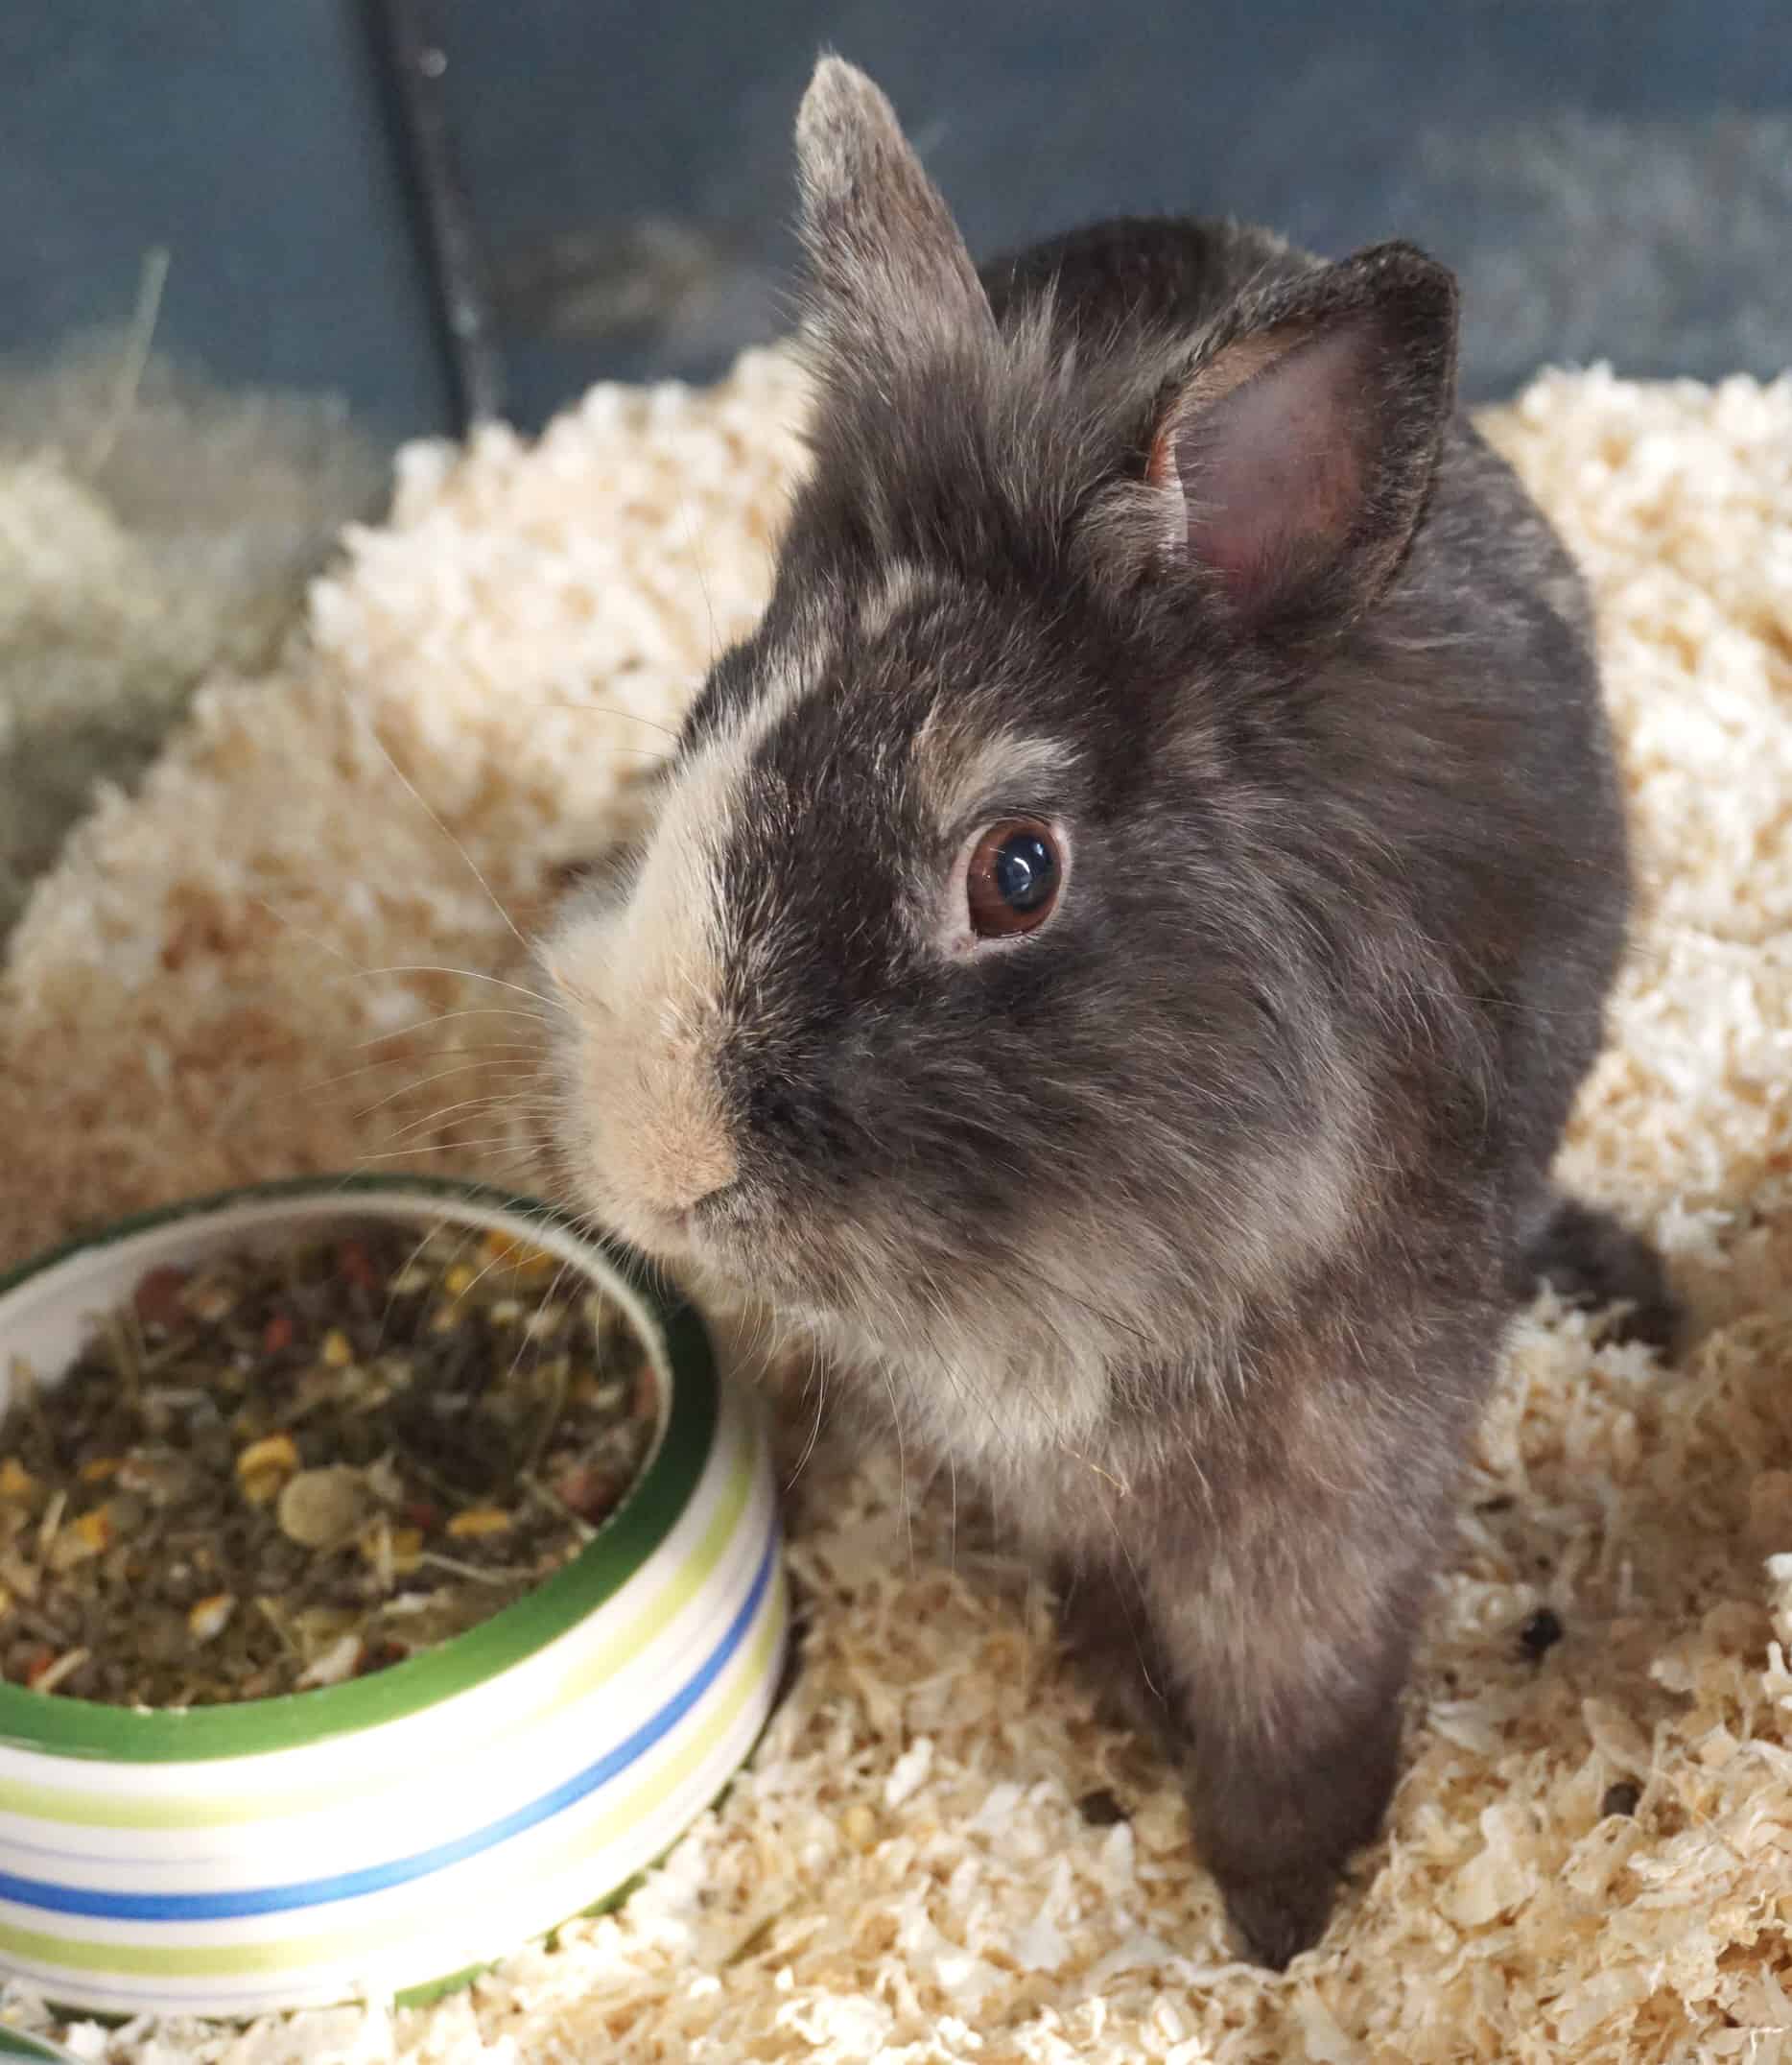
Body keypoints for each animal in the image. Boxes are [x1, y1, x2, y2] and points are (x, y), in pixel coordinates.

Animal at [539, 55, 1676, 1968]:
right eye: (708, 716)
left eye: (1013, 874)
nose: (661, 1166)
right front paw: (1141, 1730)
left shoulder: (1342, 1460)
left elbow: (1304, 1690)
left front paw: (1284, 1918)